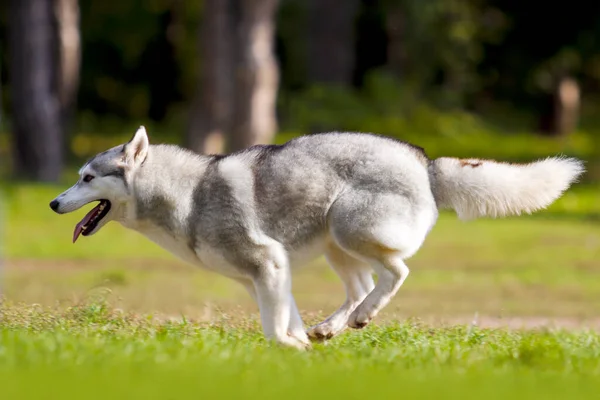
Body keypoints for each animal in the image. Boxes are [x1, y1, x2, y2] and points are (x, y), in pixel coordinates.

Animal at [50, 126, 584, 348]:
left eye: (87, 177)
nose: (53, 203)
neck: (187, 194)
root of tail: (424, 161)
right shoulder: (269, 273)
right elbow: (284, 317)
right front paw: (300, 343)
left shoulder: (266, 261)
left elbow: (272, 329)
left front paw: (291, 350)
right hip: (334, 246)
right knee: (362, 286)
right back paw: (332, 327)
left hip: (349, 225)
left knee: (396, 272)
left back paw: (363, 316)